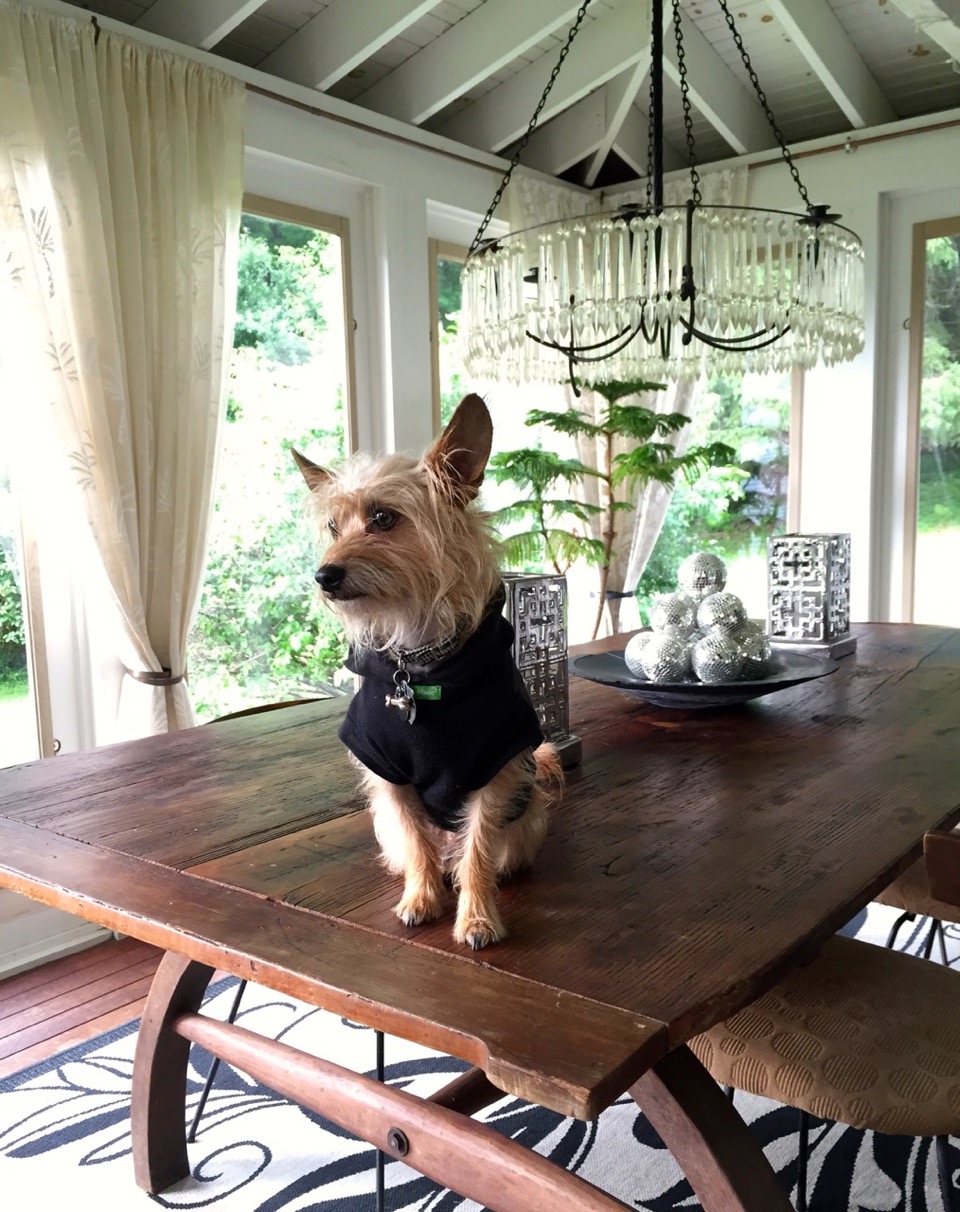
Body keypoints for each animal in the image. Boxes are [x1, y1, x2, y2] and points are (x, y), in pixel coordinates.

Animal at [292, 393, 559, 949]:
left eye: (383, 518)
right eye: (333, 528)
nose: (323, 575)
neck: (418, 664)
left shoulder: (494, 775)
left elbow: (478, 851)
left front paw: (476, 918)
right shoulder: (389, 779)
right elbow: (418, 844)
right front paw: (421, 898)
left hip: (525, 820)